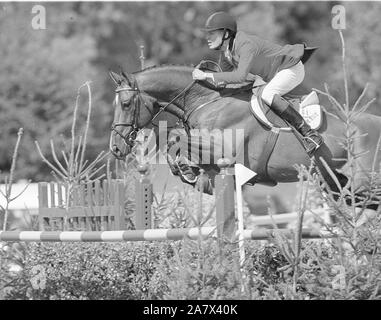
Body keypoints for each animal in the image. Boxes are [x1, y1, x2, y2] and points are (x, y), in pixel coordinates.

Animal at [107, 63, 380, 211]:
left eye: (126, 103)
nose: (116, 148)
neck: (207, 100)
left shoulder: (225, 149)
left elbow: (179, 142)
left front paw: (186, 170)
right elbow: (177, 141)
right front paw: (189, 172)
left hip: (364, 181)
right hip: (339, 184)